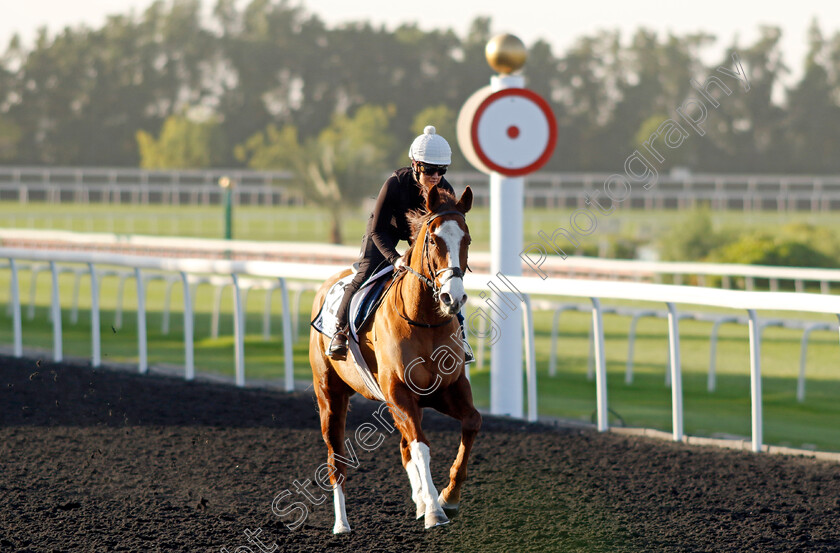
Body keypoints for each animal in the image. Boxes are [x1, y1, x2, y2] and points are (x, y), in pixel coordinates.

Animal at [306, 183, 480, 532]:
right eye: (433, 239)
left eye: (466, 238)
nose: (452, 298)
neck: (424, 319)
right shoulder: (398, 391)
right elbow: (421, 446)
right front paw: (435, 511)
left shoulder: (446, 389)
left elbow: (471, 422)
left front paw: (448, 498)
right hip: (329, 395)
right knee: (336, 459)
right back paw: (342, 524)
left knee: (404, 446)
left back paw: (421, 500)